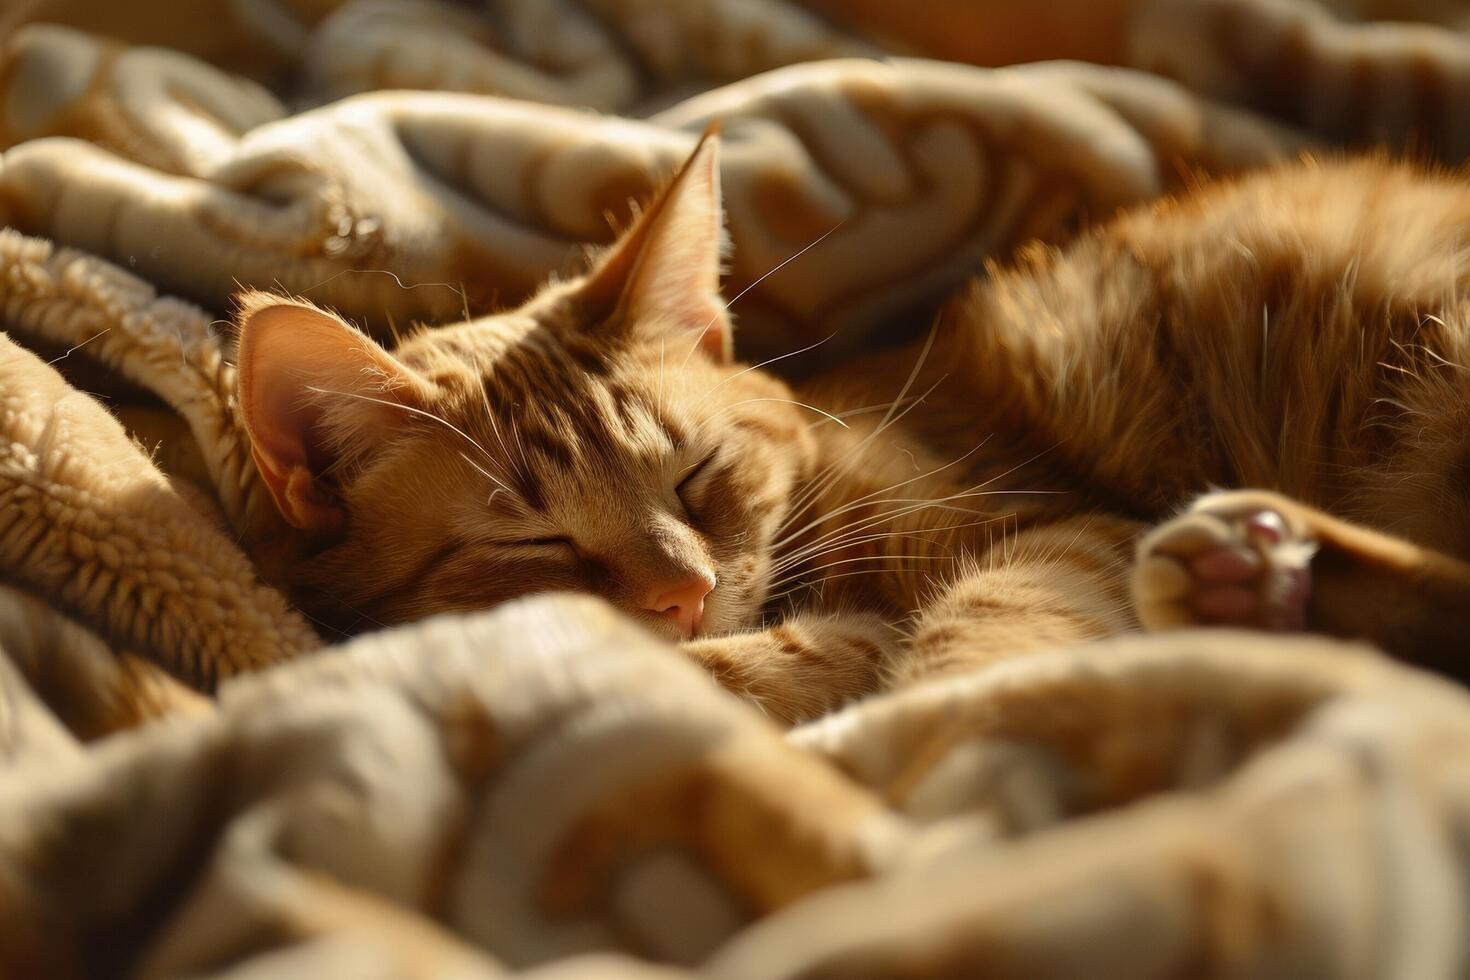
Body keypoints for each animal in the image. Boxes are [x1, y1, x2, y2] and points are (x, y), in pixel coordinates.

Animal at [235, 135, 1470, 719]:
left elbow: (963, 638)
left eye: (695, 473)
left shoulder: (1069, 528)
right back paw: (1259, 582)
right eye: (532, 539)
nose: (684, 592)